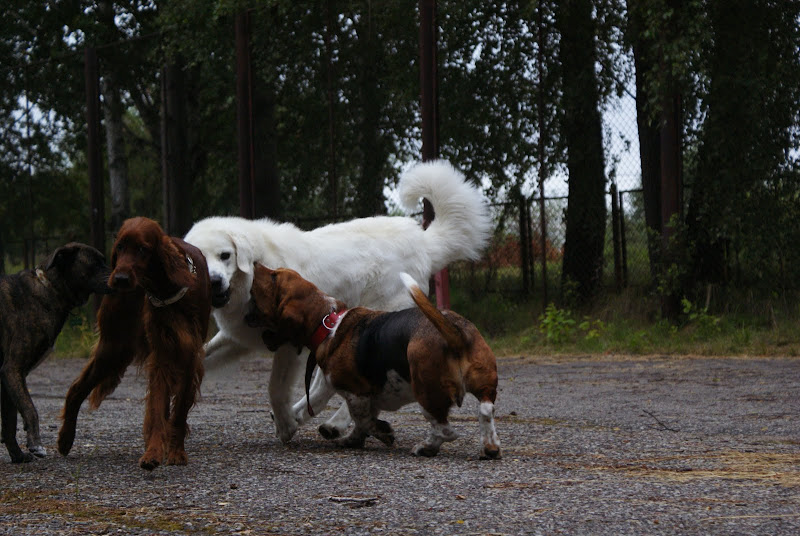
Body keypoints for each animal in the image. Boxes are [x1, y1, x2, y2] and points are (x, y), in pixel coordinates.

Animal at [0, 243, 111, 463]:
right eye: (95, 263)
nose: (118, 277)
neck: (49, 289)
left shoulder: (6, 379)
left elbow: (9, 422)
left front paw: (18, 456)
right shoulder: (12, 369)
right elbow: (30, 409)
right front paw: (35, 443)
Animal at [57, 217, 210, 470]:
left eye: (142, 249)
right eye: (119, 246)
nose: (119, 279)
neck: (165, 291)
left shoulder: (189, 356)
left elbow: (178, 411)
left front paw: (176, 452)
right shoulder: (161, 356)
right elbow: (157, 407)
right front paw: (153, 453)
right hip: (113, 347)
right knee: (77, 388)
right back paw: (65, 439)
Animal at [183, 160, 492, 443]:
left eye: (225, 256)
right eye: (198, 261)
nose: (214, 282)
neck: (251, 275)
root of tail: (425, 243)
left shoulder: (288, 346)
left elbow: (275, 389)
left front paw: (285, 426)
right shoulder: (236, 338)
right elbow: (199, 356)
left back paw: (332, 423)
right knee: (328, 383)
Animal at [246, 264, 501, 459]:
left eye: (273, 277)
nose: (255, 264)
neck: (328, 323)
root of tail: (454, 332)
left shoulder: (356, 394)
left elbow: (364, 420)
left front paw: (383, 432)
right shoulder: (369, 397)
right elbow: (361, 423)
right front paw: (351, 440)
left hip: (426, 392)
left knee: (446, 430)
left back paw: (425, 448)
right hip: (483, 381)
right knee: (485, 410)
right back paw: (490, 448)